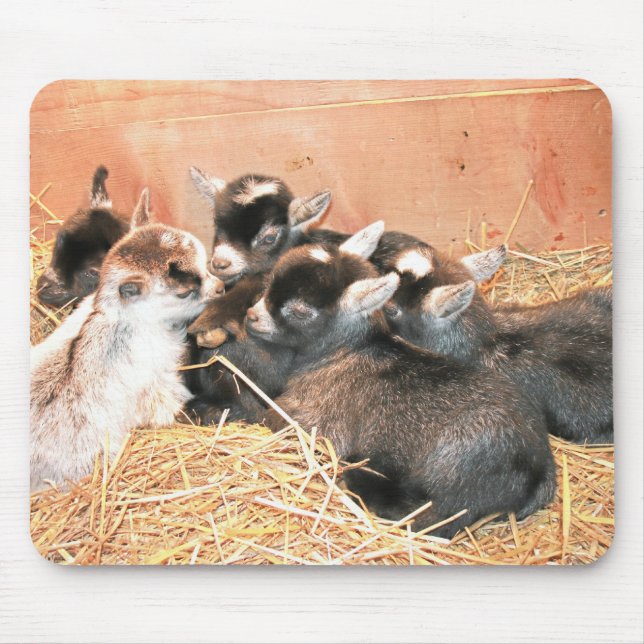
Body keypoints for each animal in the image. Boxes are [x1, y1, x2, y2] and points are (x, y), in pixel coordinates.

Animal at [244, 223, 555, 538]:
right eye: (270, 281)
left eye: (300, 311)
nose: (251, 317)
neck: (343, 353)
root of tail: (541, 467)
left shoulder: (318, 422)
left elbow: (269, 419)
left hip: (457, 476)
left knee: (439, 519)